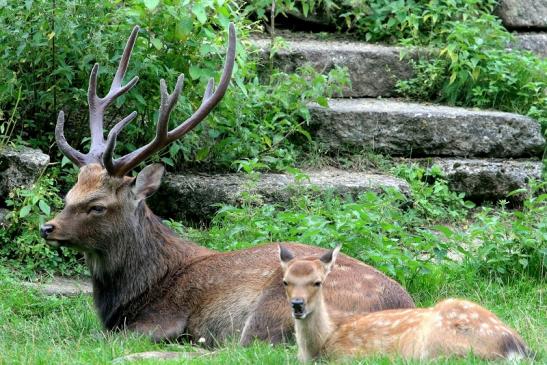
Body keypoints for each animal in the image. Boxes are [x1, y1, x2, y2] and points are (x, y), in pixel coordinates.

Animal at [39, 23, 416, 346]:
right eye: (69, 195)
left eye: (97, 206)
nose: (47, 227)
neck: (136, 291)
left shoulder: (162, 319)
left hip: (277, 306)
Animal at [280, 245, 532, 362]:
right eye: (285, 281)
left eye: (318, 282)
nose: (297, 304)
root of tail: (515, 348)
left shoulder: (347, 356)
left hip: (435, 346)